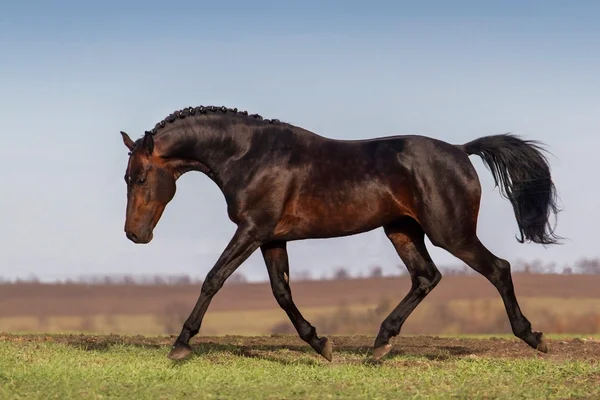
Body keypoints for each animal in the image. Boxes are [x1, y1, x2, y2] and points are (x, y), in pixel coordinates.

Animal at [119, 104, 560, 360]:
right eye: (127, 177)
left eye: (139, 178)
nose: (134, 235)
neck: (250, 156)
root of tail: (460, 150)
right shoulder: (271, 237)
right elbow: (281, 292)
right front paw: (321, 344)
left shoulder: (252, 230)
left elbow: (214, 279)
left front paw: (180, 345)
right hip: (402, 231)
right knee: (426, 277)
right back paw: (380, 345)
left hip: (451, 233)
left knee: (498, 268)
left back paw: (533, 337)